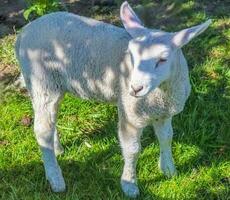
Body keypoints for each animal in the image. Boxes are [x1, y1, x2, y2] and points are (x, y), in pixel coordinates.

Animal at [15, 1, 211, 198]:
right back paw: (56, 179)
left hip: (51, 85)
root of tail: (23, 33)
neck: (161, 92)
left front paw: (169, 169)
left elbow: (166, 138)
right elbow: (132, 150)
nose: (135, 88)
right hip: (42, 81)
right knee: (42, 129)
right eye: (131, 55)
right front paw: (129, 185)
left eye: (163, 59)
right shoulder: (131, 115)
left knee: (49, 120)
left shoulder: (163, 113)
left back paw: (57, 150)